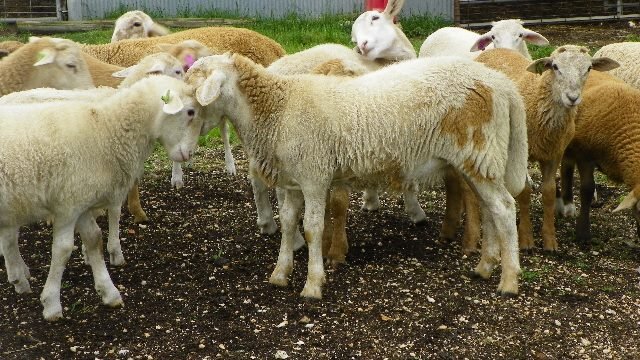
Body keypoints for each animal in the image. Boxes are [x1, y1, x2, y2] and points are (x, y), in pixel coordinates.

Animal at [0, 75, 205, 320]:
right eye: (191, 112)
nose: (189, 155)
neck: (105, 127)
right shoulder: (68, 204)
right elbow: (63, 250)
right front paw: (51, 304)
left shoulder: (81, 203)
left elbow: (94, 239)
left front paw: (109, 292)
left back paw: (19, 278)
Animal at [188, 52, 528, 298]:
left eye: (193, 89)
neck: (279, 110)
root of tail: (501, 83)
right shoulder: (294, 180)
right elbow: (287, 223)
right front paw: (280, 274)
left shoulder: (314, 175)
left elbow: (312, 228)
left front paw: (313, 285)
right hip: (478, 162)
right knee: (490, 210)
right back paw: (484, 267)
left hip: (480, 151)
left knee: (504, 209)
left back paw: (509, 281)